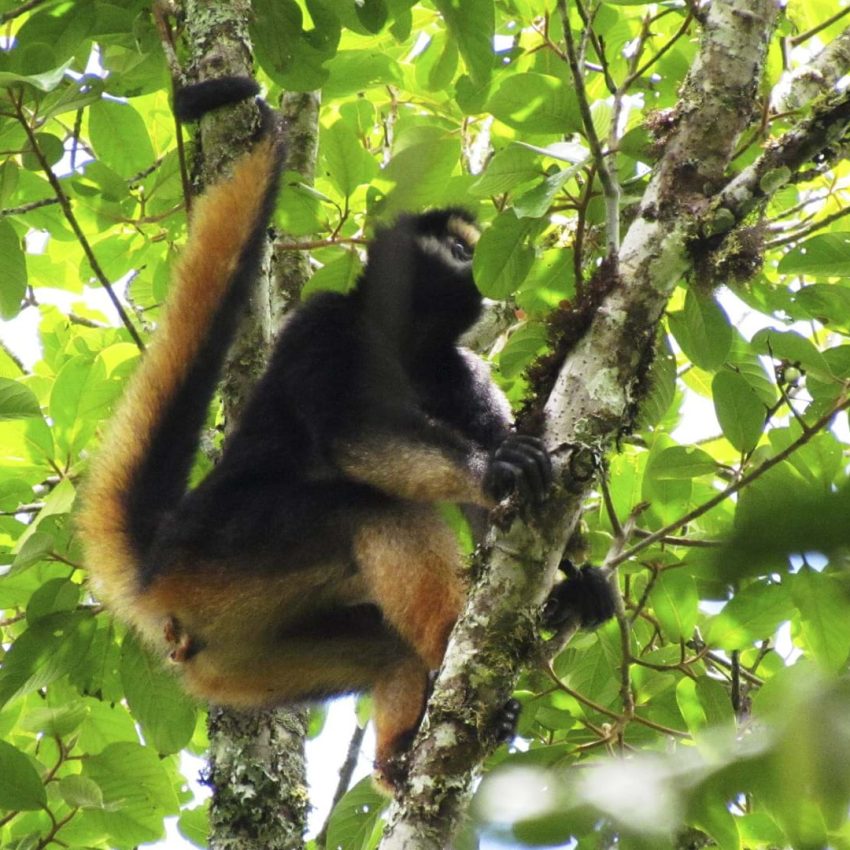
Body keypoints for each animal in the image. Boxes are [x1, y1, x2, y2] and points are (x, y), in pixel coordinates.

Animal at [78, 78, 615, 788]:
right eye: (461, 249)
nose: (479, 271)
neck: (400, 344)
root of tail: (159, 559)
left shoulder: (454, 365)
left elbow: (493, 519)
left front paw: (572, 590)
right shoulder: (323, 321)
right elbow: (351, 436)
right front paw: (492, 467)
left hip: (239, 653)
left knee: (387, 644)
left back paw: (400, 751)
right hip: (226, 552)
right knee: (369, 508)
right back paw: (449, 647)